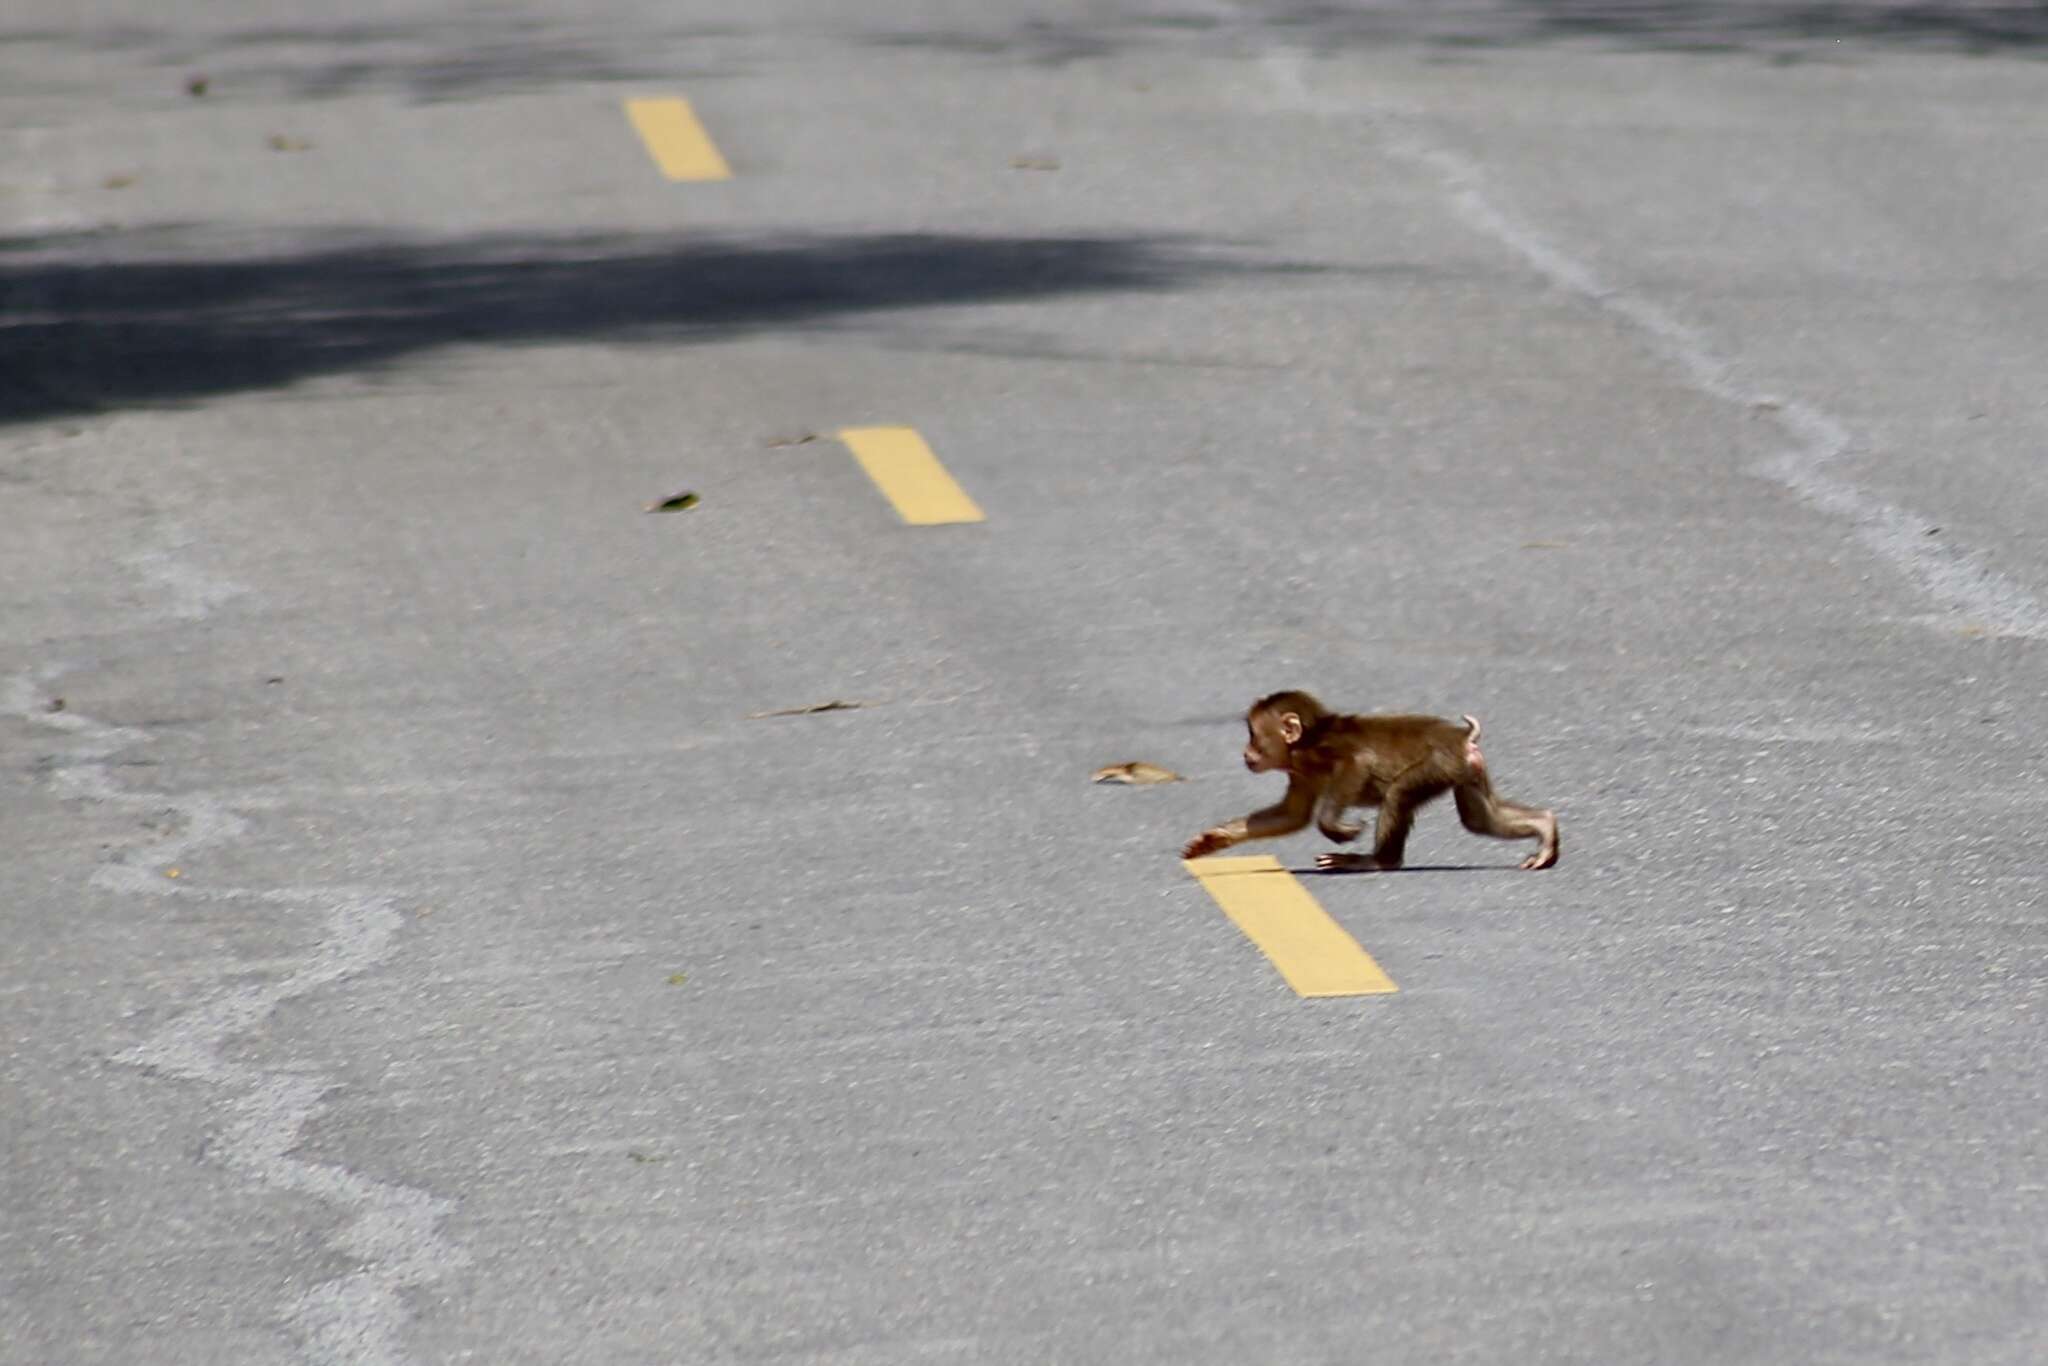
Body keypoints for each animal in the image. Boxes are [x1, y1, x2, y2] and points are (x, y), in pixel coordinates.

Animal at [1179, 688, 1556, 872]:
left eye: (1254, 736)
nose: (1246, 752)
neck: (1305, 743)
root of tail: (1462, 738)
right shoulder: (1302, 771)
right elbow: (1293, 815)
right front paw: (1212, 839)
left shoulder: (1321, 753)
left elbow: (1356, 763)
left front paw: (1336, 828)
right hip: (1465, 768)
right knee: (1479, 819)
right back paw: (1546, 827)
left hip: (1441, 762)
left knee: (1400, 792)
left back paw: (1377, 861)